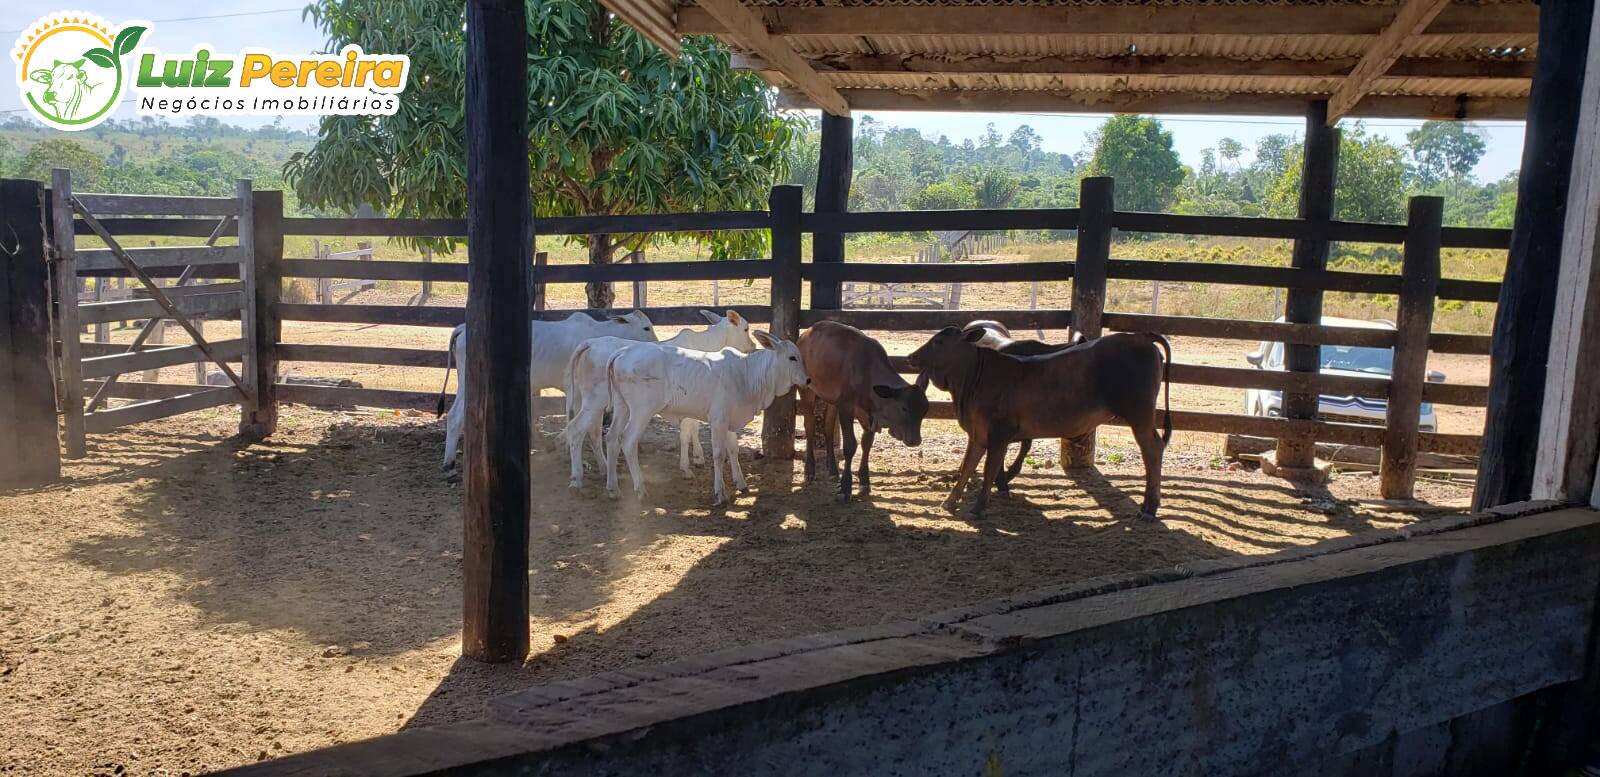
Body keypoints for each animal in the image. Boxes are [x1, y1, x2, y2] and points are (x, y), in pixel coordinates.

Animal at [435, 308, 652, 466]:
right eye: (646, 328)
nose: (656, 343)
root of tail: (463, 328)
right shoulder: (577, 393)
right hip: (468, 384)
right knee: (454, 417)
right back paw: (449, 462)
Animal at [566, 310, 758, 486]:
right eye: (746, 329)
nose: (753, 347)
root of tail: (591, 343)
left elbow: (693, 429)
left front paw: (698, 457)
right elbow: (686, 433)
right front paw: (687, 467)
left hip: (592, 402)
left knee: (594, 433)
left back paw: (604, 469)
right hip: (596, 401)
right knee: (576, 430)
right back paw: (577, 477)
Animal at [601, 330, 812, 508]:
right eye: (792, 357)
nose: (808, 380)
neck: (747, 374)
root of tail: (622, 352)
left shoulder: (730, 420)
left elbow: (733, 450)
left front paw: (741, 484)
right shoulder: (718, 420)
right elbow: (719, 454)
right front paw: (720, 493)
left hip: (622, 406)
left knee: (611, 438)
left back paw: (613, 489)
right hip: (642, 409)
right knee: (627, 440)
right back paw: (640, 490)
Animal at [796, 321, 928, 505]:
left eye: (925, 409)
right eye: (904, 408)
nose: (915, 440)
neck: (866, 370)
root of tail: (805, 335)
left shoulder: (867, 414)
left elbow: (867, 443)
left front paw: (864, 482)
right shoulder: (846, 407)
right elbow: (850, 445)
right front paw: (846, 487)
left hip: (832, 400)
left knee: (828, 427)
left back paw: (833, 470)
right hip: (806, 390)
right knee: (809, 425)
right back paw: (809, 471)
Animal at [915, 324, 1177, 518]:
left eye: (939, 342)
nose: (911, 356)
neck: (973, 378)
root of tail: (1140, 337)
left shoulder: (999, 435)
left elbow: (989, 470)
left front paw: (979, 506)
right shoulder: (978, 432)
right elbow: (968, 466)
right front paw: (950, 500)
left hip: (1140, 414)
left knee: (1152, 448)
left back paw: (1149, 507)